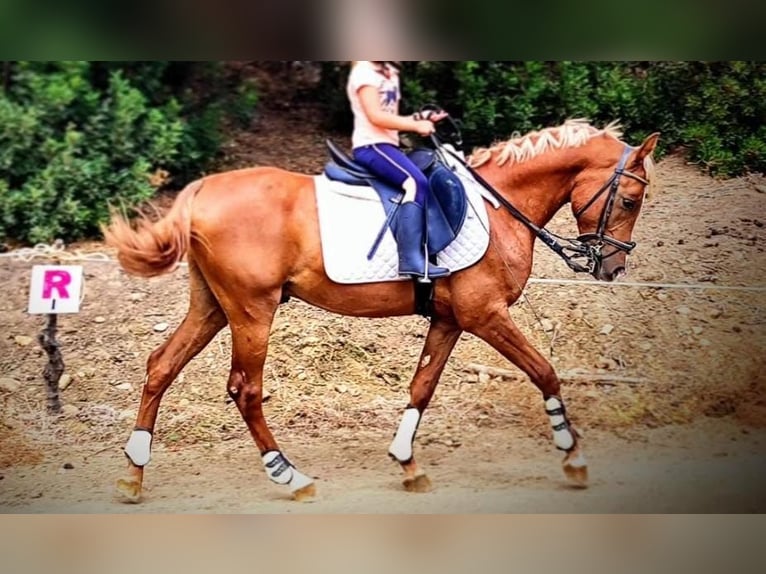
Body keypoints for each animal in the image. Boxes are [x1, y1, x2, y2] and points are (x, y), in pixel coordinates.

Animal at [104, 118, 659, 503]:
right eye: (631, 199)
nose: (612, 269)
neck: (499, 207)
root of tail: (205, 188)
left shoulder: (450, 321)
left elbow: (422, 387)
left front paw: (408, 463)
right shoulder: (486, 315)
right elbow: (545, 372)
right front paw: (573, 457)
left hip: (213, 308)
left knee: (161, 365)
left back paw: (133, 473)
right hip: (251, 311)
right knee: (245, 389)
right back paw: (290, 475)